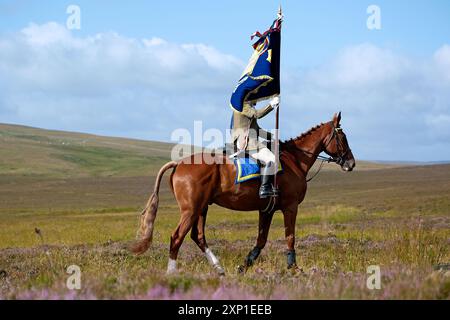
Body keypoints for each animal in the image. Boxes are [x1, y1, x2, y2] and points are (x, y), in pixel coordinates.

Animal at [130, 112, 356, 276]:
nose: (351, 163)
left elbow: (261, 240)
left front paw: (244, 266)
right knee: (177, 237)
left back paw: (219, 268)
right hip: (191, 210)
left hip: (202, 208)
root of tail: (178, 163)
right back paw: (172, 273)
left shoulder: (267, 210)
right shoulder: (290, 207)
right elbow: (290, 237)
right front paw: (295, 268)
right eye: (343, 137)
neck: (295, 160)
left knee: (198, 236)